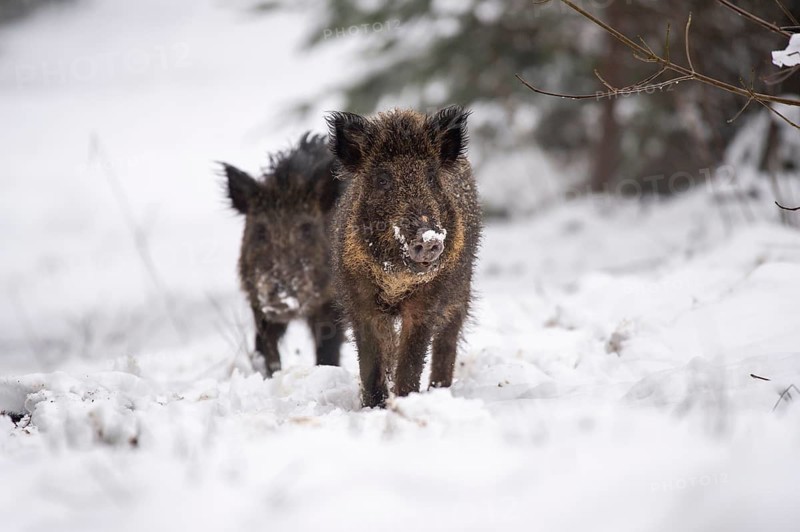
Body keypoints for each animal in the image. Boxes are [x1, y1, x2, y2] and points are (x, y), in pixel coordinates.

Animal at [221, 133, 345, 377]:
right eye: (261, 231)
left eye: (306, 228)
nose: (280, 293)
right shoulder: (257, 302)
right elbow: (266, 347)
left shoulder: (334, 303)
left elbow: (328, 349)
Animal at [327, 106, 482, 407]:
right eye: (383, 179)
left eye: (431, 177)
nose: (429, 238)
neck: (396, 279)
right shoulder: (359, 300)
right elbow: (372, 362)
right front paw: (373, 408)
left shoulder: (427, 302)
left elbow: (411, 360)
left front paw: (405, 401)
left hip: (461, 289)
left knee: (447, 341)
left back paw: (439, 390)